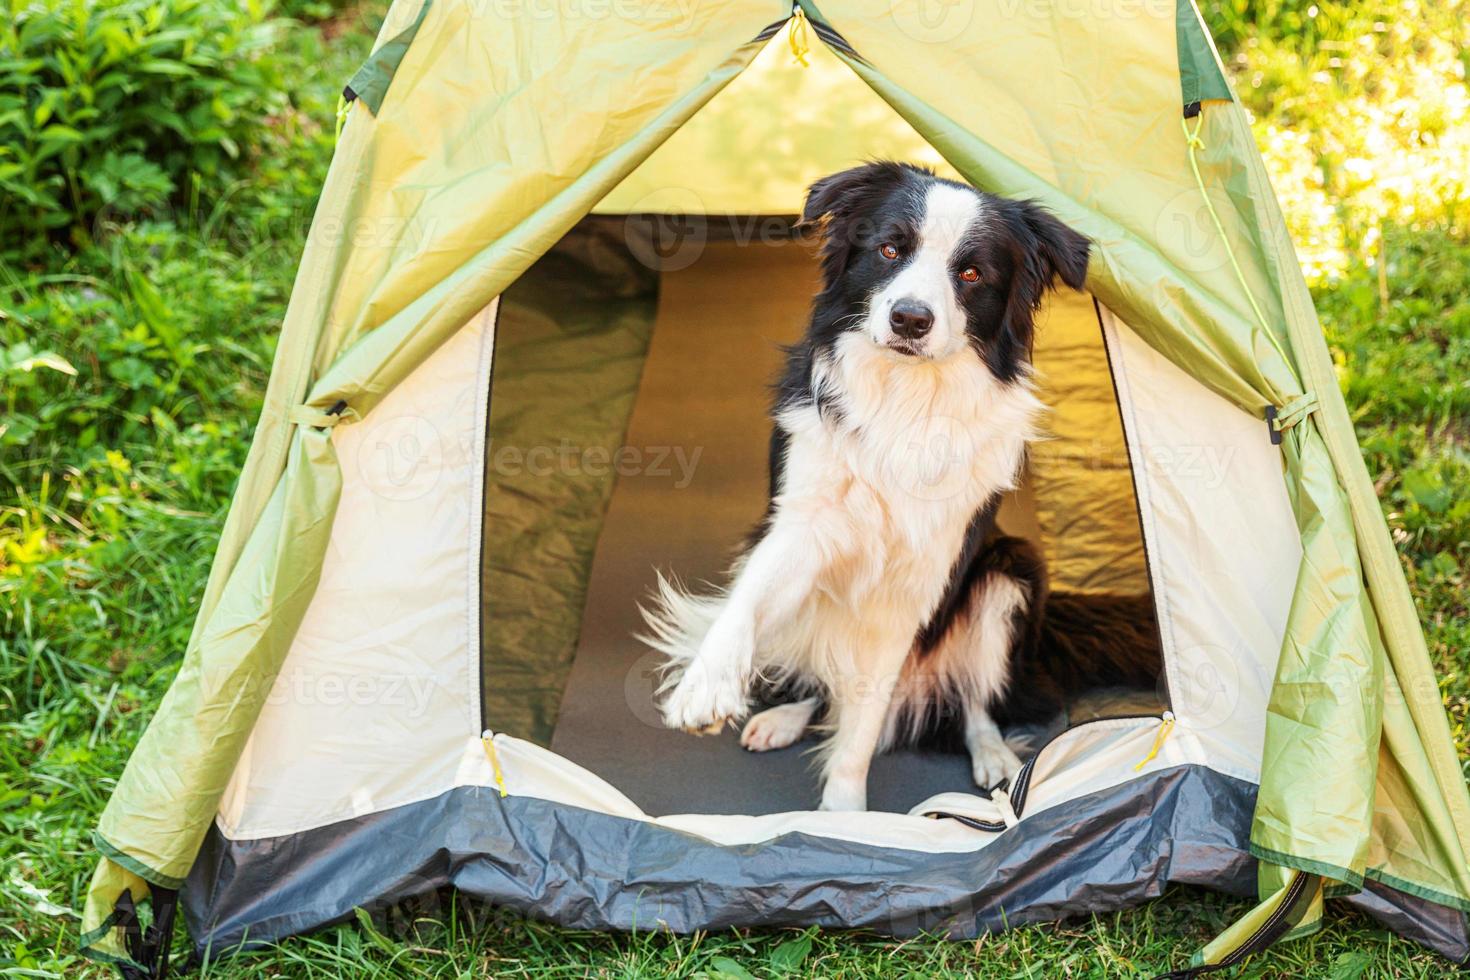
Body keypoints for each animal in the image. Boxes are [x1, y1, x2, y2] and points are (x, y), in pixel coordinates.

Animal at [643, 163, 1158, 811]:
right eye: (890, 249)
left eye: (971, 273)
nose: (910, 319)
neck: (906, 397)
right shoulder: (803, 524)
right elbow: (749, 601)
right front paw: (706, 686)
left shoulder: (917, 579)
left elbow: (864, 718)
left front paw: (842, 813)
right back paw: (784, 717)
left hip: (1010, 571)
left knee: (973, 697)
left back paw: (993, 757)